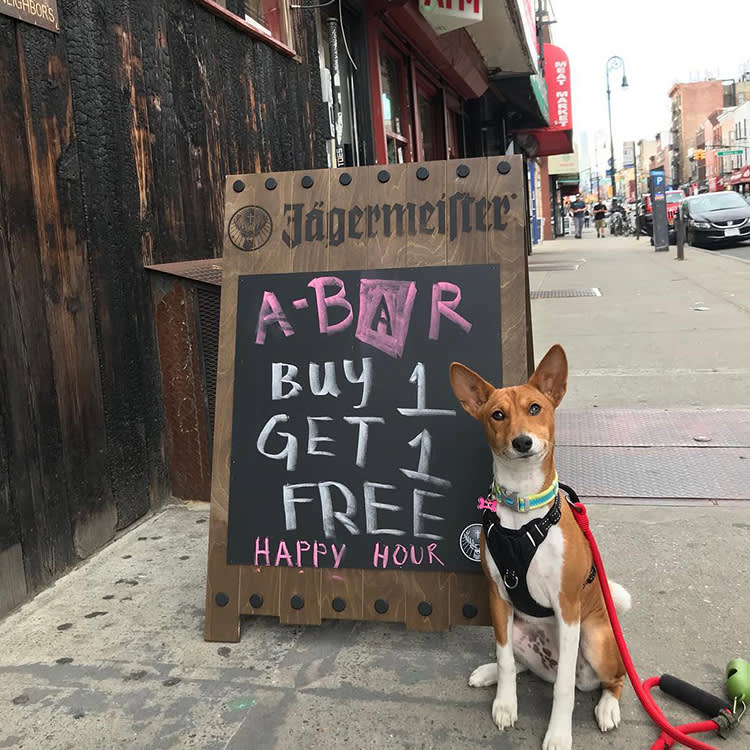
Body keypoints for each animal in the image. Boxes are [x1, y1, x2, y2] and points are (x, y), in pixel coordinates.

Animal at [452, 346, 636, 750]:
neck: (522, 511)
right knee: (518, 661)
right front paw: (505, 704)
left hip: (595, 638)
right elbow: (506, 659)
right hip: (517, 628)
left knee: (611, 680)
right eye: (497, 414)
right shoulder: (497, 597)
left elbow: (564, 689)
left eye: (535, 408)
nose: (522, 441)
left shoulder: (567, 607)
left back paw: (607, 708)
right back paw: (489, 672)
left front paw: (558, 734)